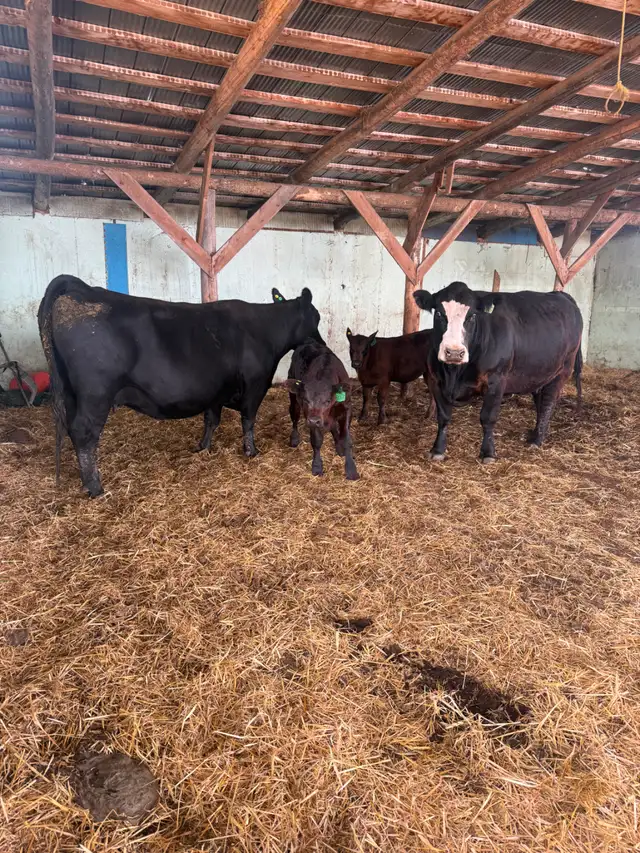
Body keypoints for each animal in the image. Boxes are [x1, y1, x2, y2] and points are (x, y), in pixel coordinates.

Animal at [38, 275, 324, 497]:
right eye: (316, 317)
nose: (321, 344)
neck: (265, 329)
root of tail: (83, 289)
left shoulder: (215, 391)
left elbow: (211, 420)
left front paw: (202, 447)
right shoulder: (256, 385)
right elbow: (248, 421)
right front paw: (251, 452)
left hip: (72, 393)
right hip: (96, 394)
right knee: (84, 432)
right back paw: (95, 486)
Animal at [286, 339, 359, 481]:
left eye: (327, 401)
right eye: (306, 400)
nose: (315, 421)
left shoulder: (347, 408)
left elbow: (346, 439)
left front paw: (351, 469)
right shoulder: (309, 416)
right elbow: (316, 441)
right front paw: (317, 466)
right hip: (294, 400)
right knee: (294, 416)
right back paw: (294, 438)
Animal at [412, 281, 583, 463]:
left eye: (472, 316)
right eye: (438, 313)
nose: (454, 352)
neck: (455, 373)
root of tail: (560, 295)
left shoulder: (496, 381)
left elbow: (488, 418)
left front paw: (488, 453)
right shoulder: (436, 381)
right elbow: (443, 417)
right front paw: (438, 449)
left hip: (562, 370)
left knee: (548, 403)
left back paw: (536, 440)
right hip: (540, 373)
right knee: (540, 400)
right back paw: (538, 433)